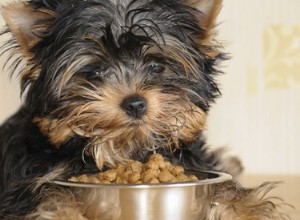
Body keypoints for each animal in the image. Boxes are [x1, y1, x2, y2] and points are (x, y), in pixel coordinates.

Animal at [0, 0, 288, 220]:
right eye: (93, 73)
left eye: (157, 67)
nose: (135, 102)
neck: (126, 146)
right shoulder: (27, 177)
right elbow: (46, 191)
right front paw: (62, 214)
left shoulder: (190, 161)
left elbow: (224, 183)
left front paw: (248, 210)